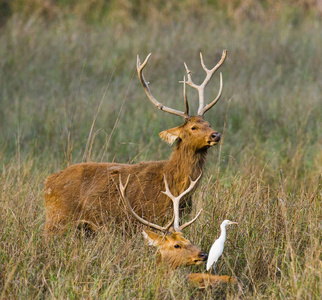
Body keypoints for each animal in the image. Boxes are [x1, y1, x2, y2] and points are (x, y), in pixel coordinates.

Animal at [44, 49, 228, 237]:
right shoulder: (147, 217)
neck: (175, 187)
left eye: (208, 123)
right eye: (193, 127)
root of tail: (47, 183)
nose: (216, 135)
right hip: (57, 218)